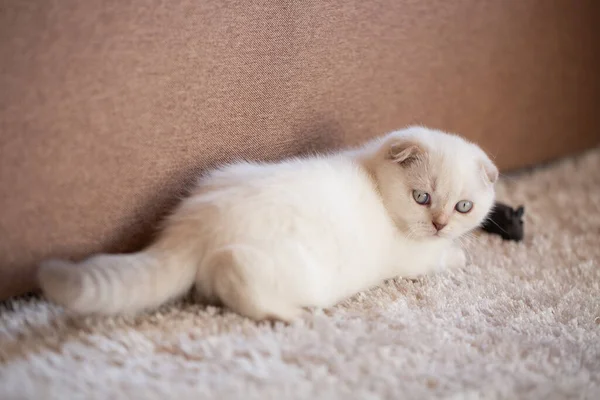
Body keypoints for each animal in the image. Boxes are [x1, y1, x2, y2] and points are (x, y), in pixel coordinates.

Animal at [37, 127, 496, 322]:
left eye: (463, 206)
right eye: (422, 198)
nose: (439, 224)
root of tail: (192, 226)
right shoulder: (413, 259)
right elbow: (441, 259)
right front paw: (459, 253)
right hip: (298, 268)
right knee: (234, 273)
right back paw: (289, 315)